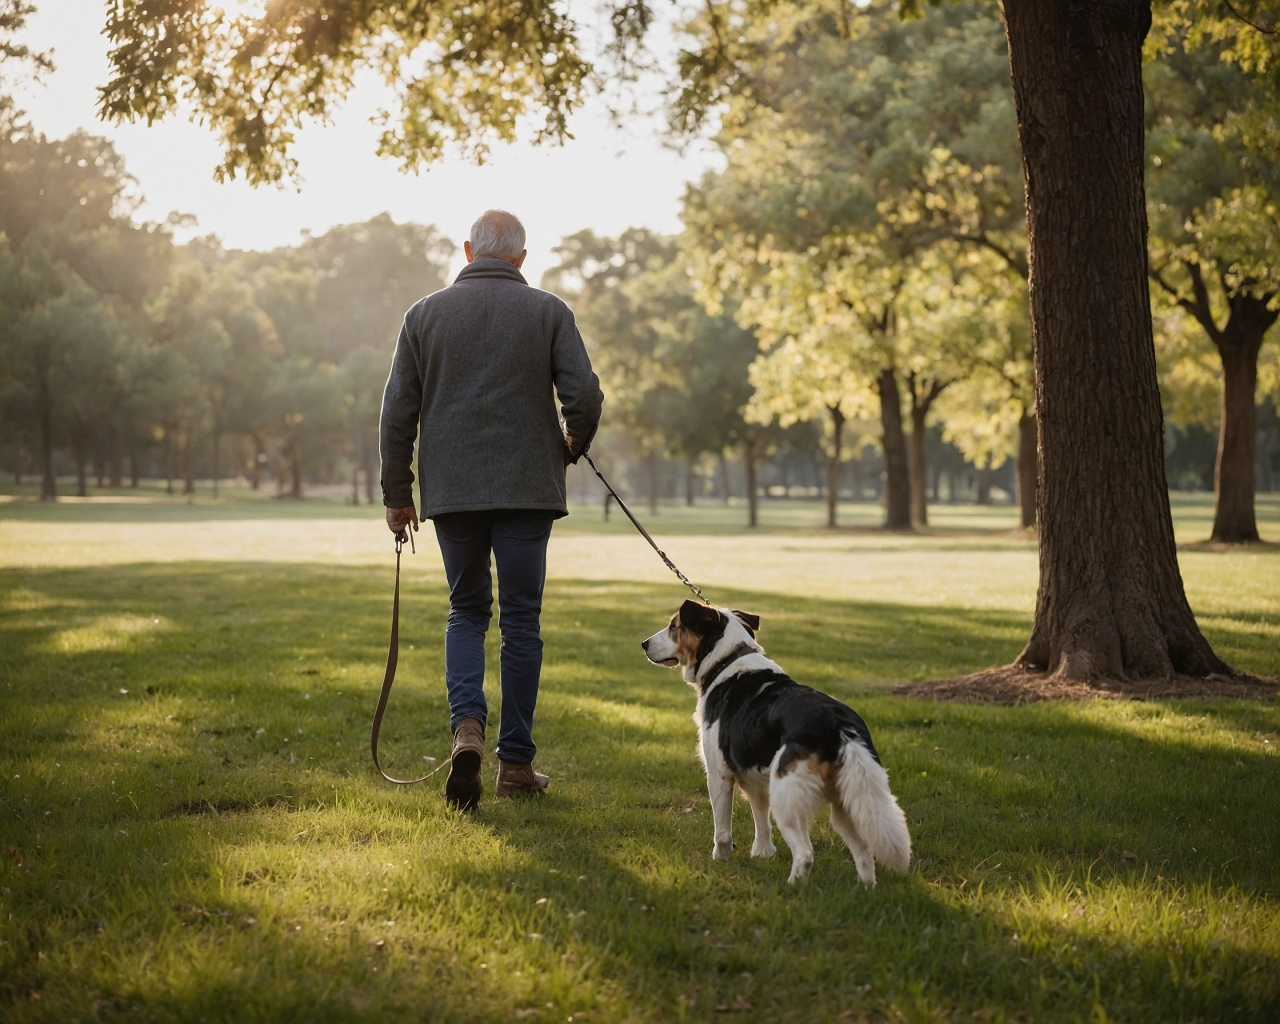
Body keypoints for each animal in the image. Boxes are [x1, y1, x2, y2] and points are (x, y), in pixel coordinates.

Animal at [640, 604, 911, 885]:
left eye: (674, 626)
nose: (643, 644)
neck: (726, 660)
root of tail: (838, 725)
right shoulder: (755, 782)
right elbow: (762, 822)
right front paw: (763, 854)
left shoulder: (719, 775)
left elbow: (722, 831)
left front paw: (720, 862)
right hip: (848, 804)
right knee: (864, 854)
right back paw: (864, 889)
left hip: (788, 799)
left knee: (805, 853)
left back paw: (792, 888)